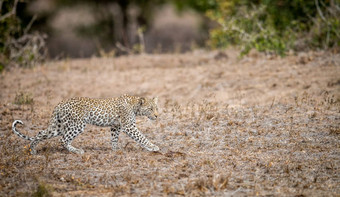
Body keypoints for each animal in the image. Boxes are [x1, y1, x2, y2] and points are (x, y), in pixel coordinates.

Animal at [10, 94, 159, 155]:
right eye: (151, 109)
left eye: (157, 107)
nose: (157, 115)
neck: (135, 106)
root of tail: (59, 104)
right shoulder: (129, 126)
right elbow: (141, 137)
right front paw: (153, 147)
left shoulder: (115, 126)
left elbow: (114, 138)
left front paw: (115, 149)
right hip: (77, 125)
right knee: (63, 140)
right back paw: (77, 151)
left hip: (58, 126)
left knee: (41, 133)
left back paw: (33, 151)